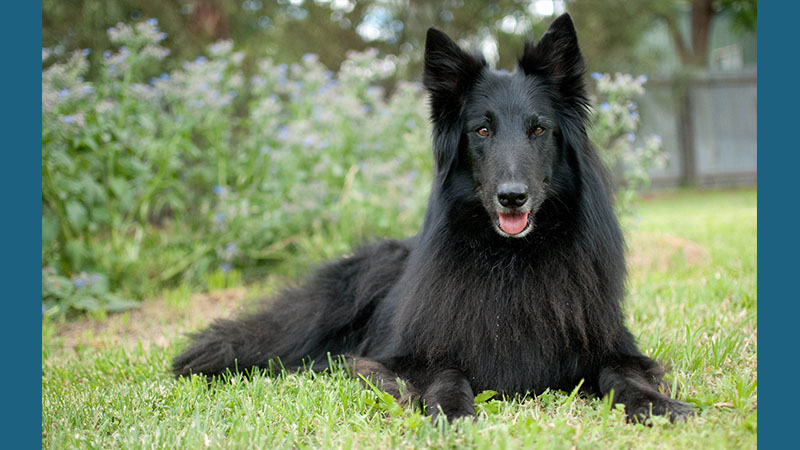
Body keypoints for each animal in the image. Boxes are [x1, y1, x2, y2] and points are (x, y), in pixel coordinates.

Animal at [175, 13, 692, 422]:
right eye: (482, 130)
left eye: (538, 129)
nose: (512, 197)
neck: (511, 261)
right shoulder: (403, 358)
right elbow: (446, 372)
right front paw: (452, 410)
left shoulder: (610, 347)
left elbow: (624, 373)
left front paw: (656, 406)